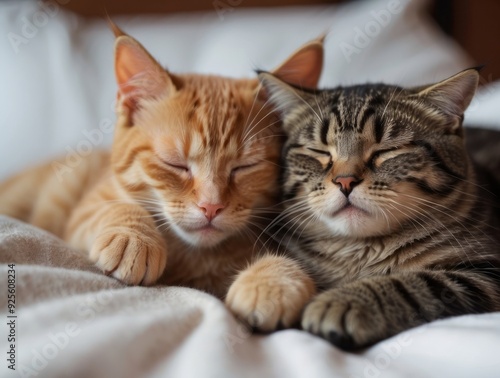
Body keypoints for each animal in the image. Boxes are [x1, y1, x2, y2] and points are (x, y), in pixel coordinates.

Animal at [0, 26, 320, 326]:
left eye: (245, 166)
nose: (211, 206)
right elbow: (113, 207)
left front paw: (273, 283)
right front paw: (133, 237)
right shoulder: (84, 211)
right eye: (175, 164)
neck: (196, 259)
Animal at [256, 67, 500, 348]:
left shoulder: (486, 273)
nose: (345, 181)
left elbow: (412, 284)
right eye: (319, 151)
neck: (360, 252)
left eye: (387, 150)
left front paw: (343, 300)